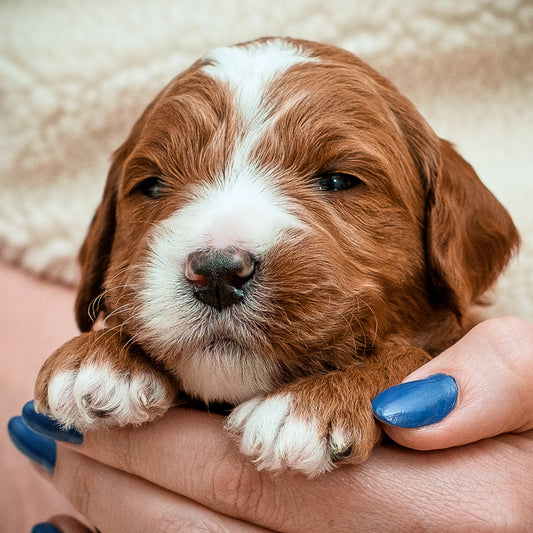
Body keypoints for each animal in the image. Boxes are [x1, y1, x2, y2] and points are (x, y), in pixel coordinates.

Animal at [33, 38, 516, 478]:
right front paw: (97, 358)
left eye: (339, 180)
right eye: (152, 186)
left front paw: (310, 404)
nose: (216, 272)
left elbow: (419, 353)